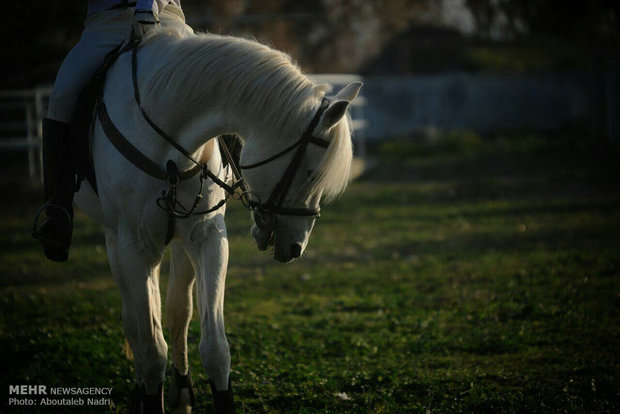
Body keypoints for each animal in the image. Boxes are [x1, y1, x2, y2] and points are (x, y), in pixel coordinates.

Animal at [74, 19, 360, 414]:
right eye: (312, 174)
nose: (297, 247)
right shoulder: (135, 246)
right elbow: (150, 348)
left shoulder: (207, 238)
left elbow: (214, 348)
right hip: (116, 241)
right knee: (135, 322)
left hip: (178, 243)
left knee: (177, 313)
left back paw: (181, 393)